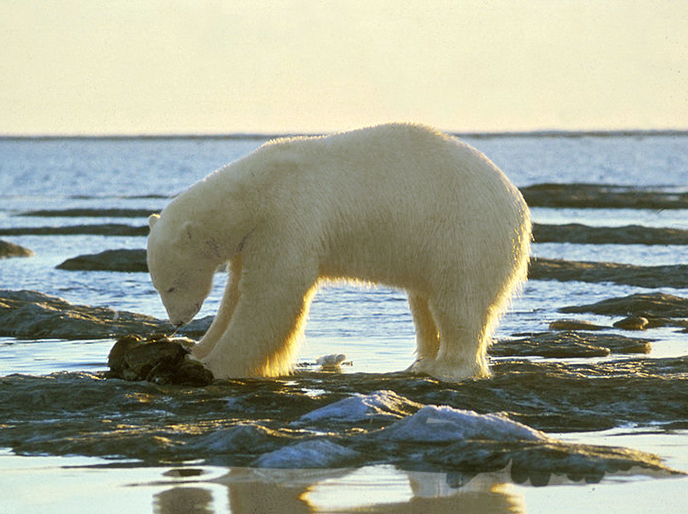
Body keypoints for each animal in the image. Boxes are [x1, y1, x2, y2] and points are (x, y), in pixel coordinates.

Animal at [148, 123, 528, 380]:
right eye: (158, 285)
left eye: (171, 285)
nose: (177, 322)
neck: (254, 193)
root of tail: (518, 206)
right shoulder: (253, 237)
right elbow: (236, 294)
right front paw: (197, 350)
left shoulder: (287, 217)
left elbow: (272, 294)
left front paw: (217, 363)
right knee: (425, 304)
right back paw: (422, 361)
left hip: (464, 233)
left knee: (457, 301)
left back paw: (448, 367)